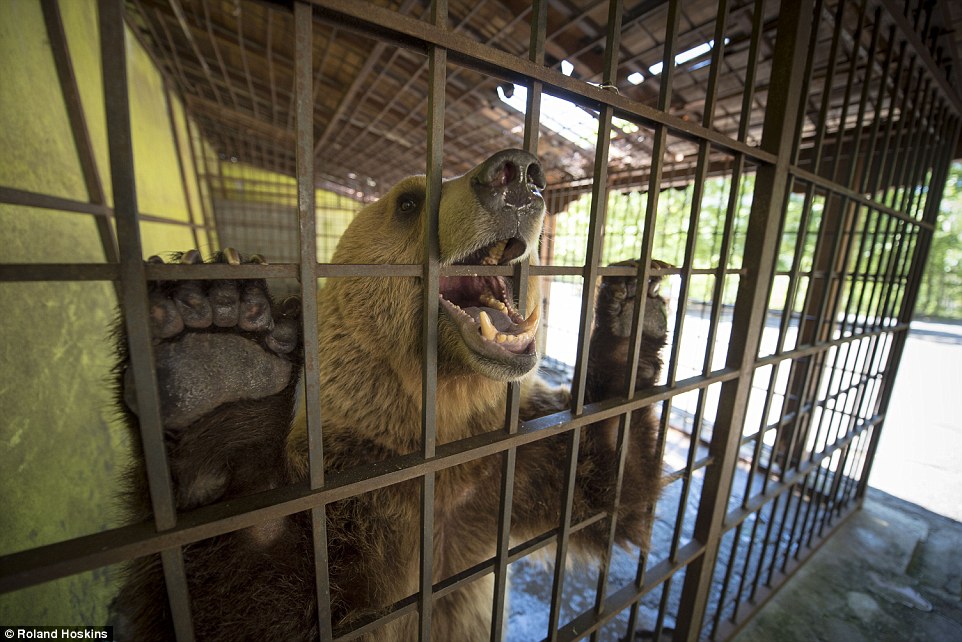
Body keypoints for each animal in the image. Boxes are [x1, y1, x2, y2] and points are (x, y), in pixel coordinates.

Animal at [111, 149, 669, 641]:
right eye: (408, 201)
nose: (519, 172)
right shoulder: (355, 499)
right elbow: (246, 598)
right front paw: (219, 355)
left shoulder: (512, 469)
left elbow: (611, 493)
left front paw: (632, 311)